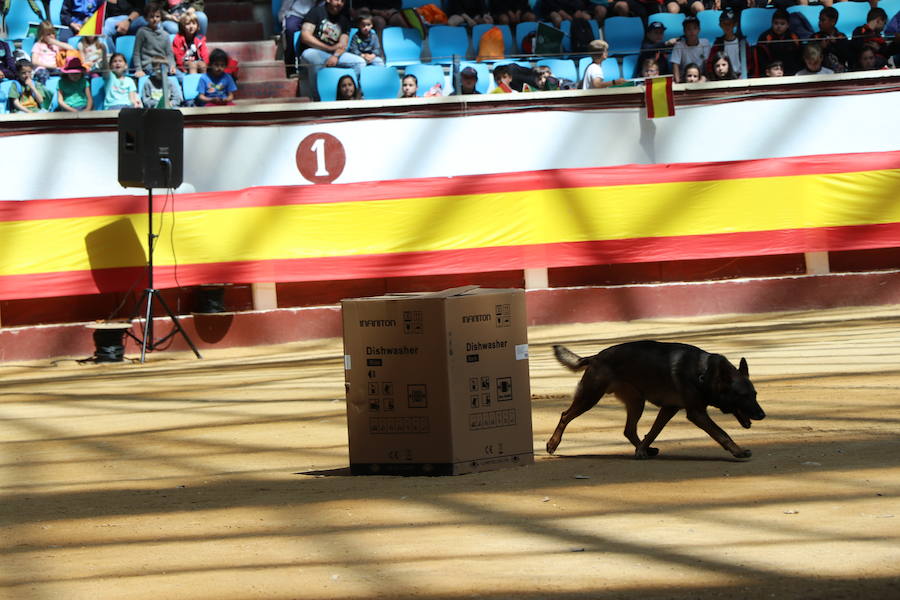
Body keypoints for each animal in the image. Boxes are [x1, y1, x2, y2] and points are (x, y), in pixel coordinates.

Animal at [548, 342, 768, 460]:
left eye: (755, 395)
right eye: (743, 396)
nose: (762, 415)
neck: (704, 373)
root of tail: (595, 356)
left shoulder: (669, 409)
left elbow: (653, 432)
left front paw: (641, 450)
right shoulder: (696, 413)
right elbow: (722, 434)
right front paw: (738, 451)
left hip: (637, 403)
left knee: (629, 430)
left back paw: (644, 449)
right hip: (590, 397)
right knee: (565, 415)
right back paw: (553, 443)